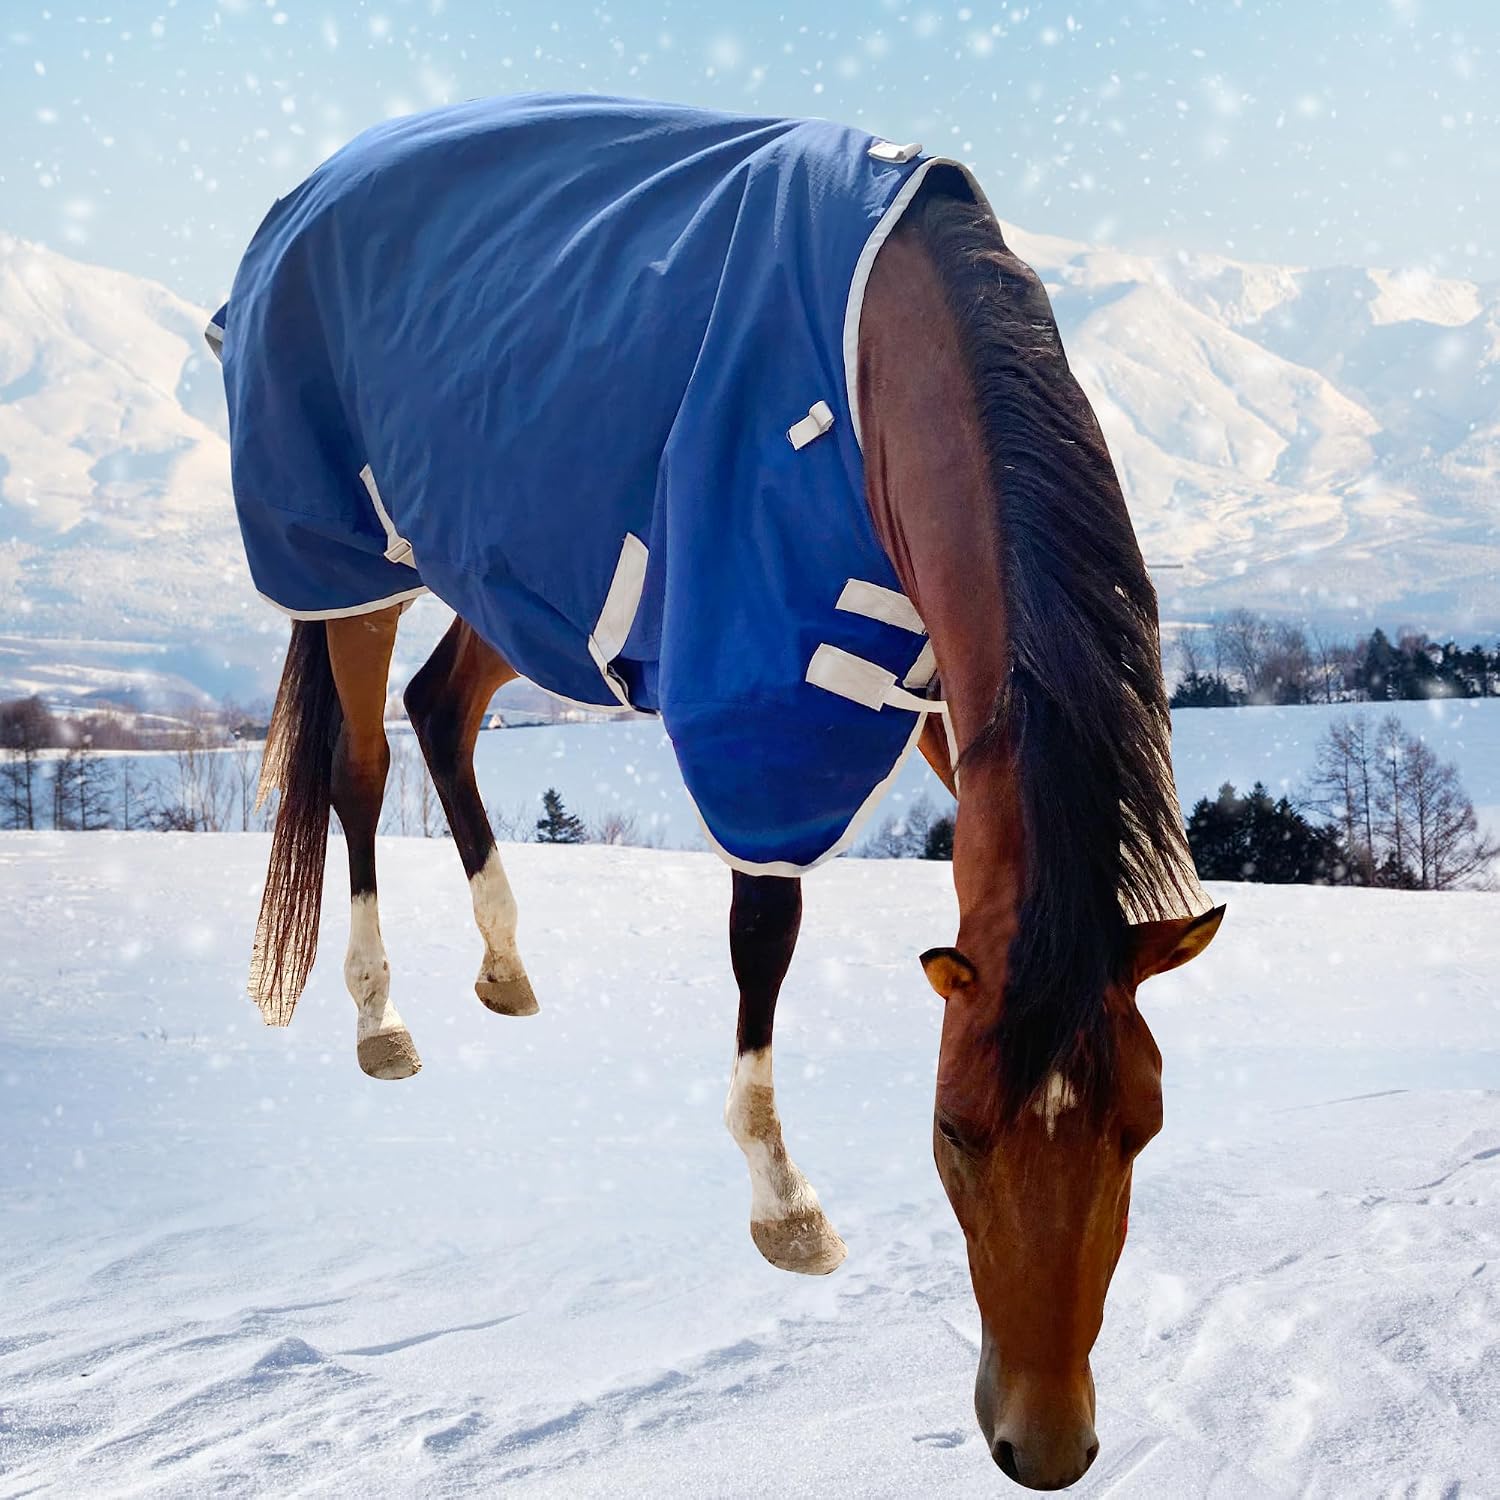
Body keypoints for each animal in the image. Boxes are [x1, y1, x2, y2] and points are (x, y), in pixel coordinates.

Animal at [214, 96, 1223, 1490]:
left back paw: (505, 965)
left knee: (440, 710)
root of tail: (299, 198)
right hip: (346, 554)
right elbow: (764, 935)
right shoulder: (761, 696)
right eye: (953, 1131)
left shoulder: (930, 685)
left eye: (1144, 1130)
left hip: (514, 570)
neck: (875, 369)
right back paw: (379, 1018)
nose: (1046, 1445)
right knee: (360, 773)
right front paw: (785, 1208)